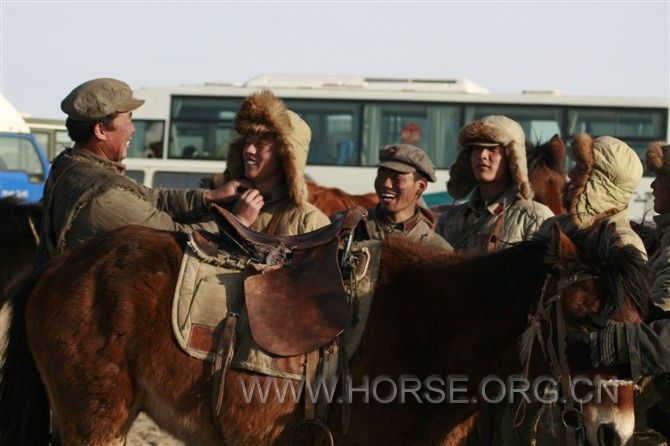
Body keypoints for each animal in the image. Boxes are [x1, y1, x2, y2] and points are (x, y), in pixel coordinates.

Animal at [0, 219, 647, 445]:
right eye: (584, 319)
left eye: (635, 332)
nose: (616, 431)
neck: (435, 326)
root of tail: (62, 265)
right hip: (95, 420)